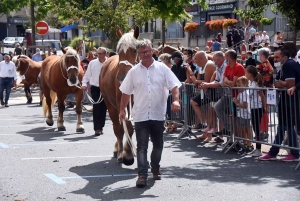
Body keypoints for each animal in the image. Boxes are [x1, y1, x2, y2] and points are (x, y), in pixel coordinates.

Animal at [99, 26, 139, 165]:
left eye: (134, 50)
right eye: (118, 50)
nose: (122, 77)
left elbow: (131, 128)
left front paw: (129, 151)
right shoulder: (121, 105)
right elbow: (125, 127)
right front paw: (127, 153)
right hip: (110, 105)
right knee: (117, 128)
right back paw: (120, 151)